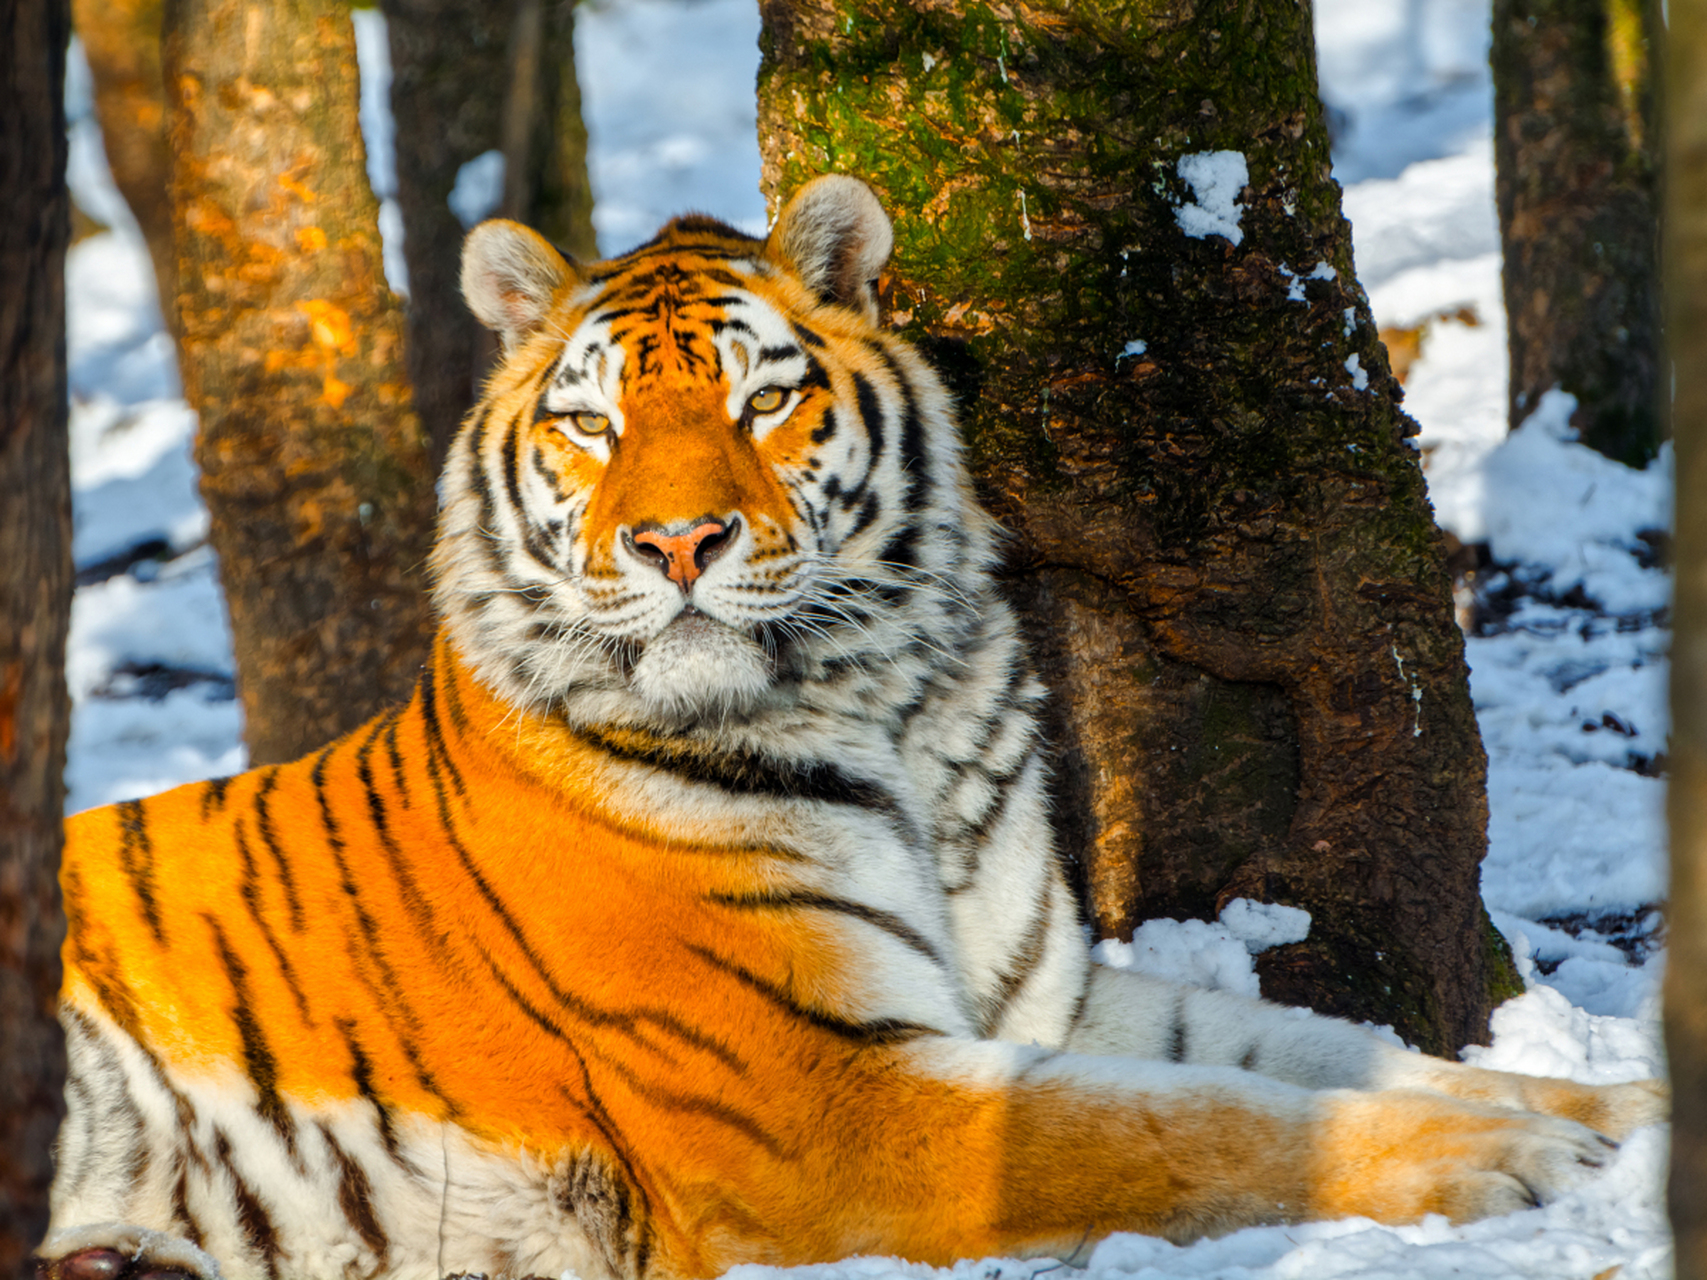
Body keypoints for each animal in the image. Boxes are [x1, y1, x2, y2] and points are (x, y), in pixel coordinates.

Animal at [38, 175, 1664, 1280]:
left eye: (762, 402)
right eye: (592, 425)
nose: (675, 543)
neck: (888, 712)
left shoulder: (1038, 998)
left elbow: (1317, 1051)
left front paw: (1619, 1105)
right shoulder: (823, 1099)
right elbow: (1189, 1124)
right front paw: (1519, 1154)